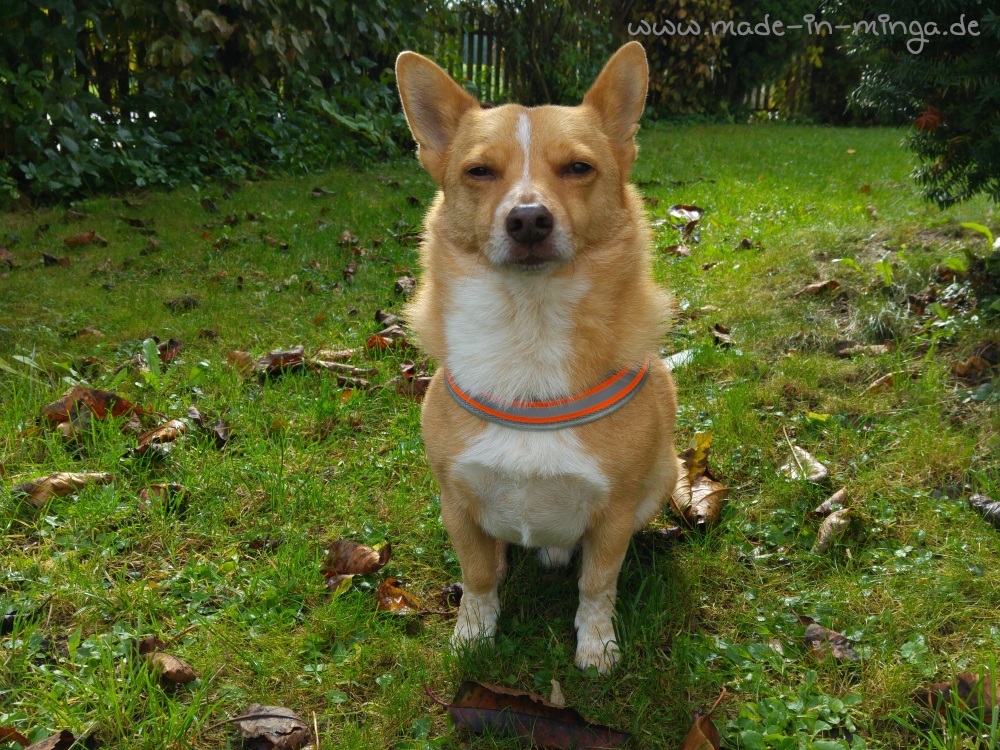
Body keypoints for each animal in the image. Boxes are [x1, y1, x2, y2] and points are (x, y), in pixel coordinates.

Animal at [396, 41, 680, 676]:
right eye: (479, 171)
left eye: (578, 168)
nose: (528, 218)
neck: (529, 327)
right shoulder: (456, 500)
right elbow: (478, 575)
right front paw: (473, 632)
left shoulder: (614, 512)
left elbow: (597, 586)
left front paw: (596, 645)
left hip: (664, 476)